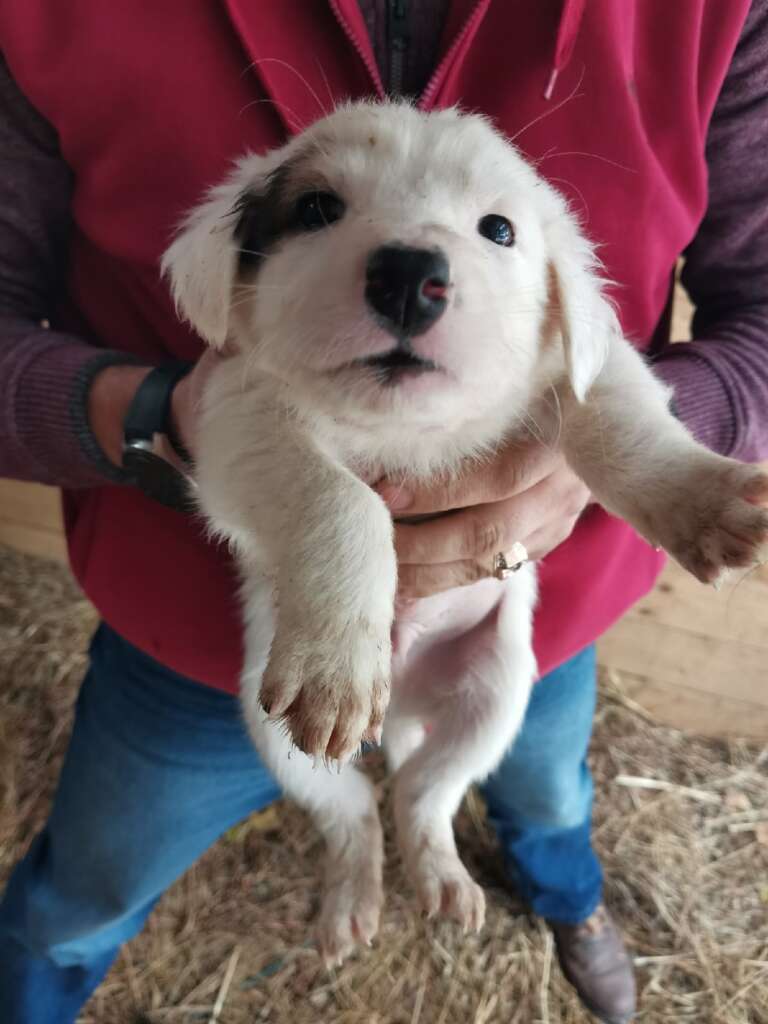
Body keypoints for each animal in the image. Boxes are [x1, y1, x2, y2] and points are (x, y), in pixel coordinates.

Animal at [163, 99, 768, 962]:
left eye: (499, 229)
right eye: (315, 209)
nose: (409, 276)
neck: (405, 431)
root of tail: (404, 706)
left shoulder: (586, 367)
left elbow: (623, 425)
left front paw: (707, 498)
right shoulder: (237, 423)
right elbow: (343, 500)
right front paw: (338, 667)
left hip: (497, 696)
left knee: (424, 793)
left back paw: (444, 880)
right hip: (268, 721)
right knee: (354, 810)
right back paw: (353, 902)